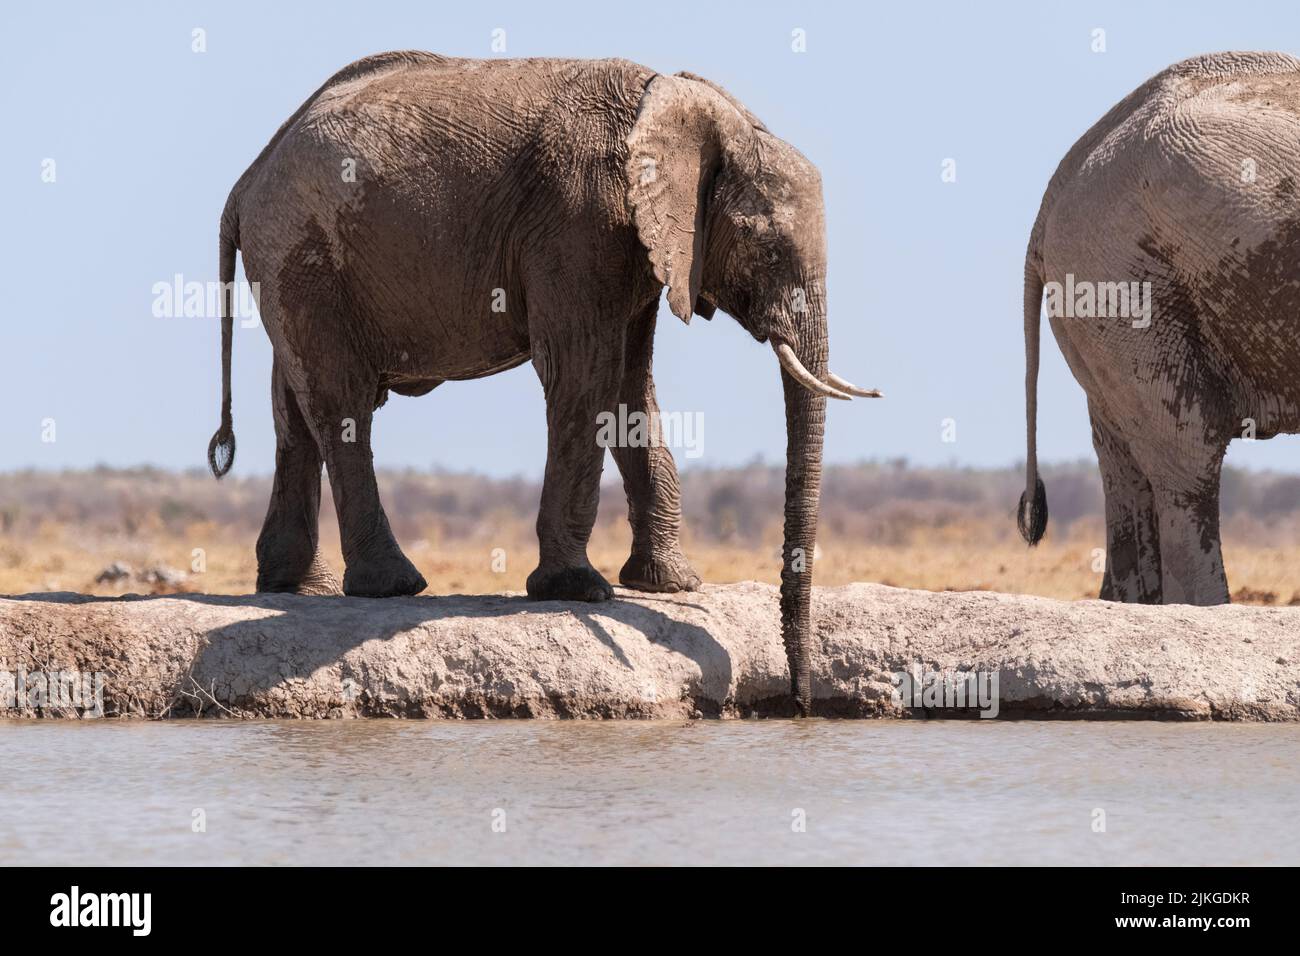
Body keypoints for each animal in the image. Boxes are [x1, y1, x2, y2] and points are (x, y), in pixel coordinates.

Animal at [208, 50, 878, 712]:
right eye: (764, 246)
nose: (800, 703)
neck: (687, 107)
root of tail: (245, 183)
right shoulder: (579, 225)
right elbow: (584, 376)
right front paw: (580, 591)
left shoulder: (635, 247)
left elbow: (632, 386)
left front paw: (670, 584)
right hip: (305, 255)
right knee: (339, 403)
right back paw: (391, 586)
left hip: (295, 264)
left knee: (292, 409)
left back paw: (297, 586)